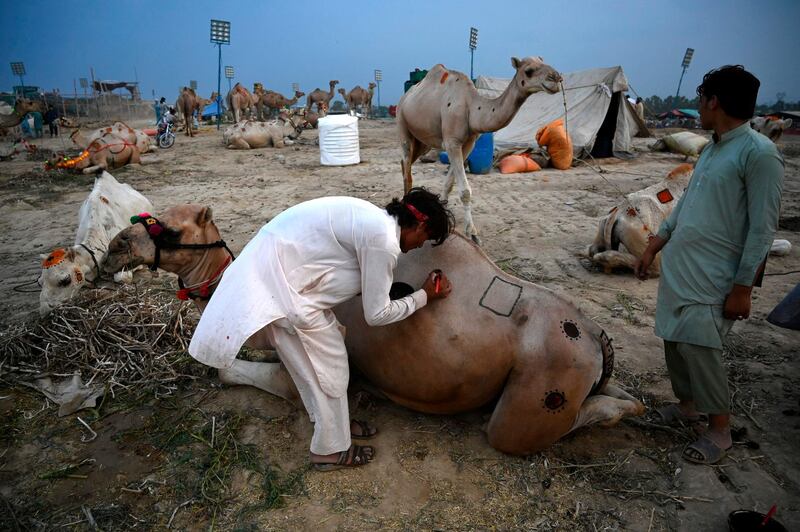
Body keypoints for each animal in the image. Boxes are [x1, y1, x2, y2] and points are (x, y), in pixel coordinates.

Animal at [104, 206, 644, 456]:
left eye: (169, 228)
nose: (113, 247)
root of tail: (593, 335)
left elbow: (242, 375)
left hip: (543, 383)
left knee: (515, 432)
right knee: (614, 390)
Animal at [398, 55, 564, 243]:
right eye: (529, 71)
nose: (556, 78)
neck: (471, 107)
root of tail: (405, 97)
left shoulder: (469, 142)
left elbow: (449, 183)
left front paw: (444, 210)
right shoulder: (452, 142)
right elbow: (465, 191)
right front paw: (473, 233)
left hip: (423, 141)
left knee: (406, 164)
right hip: (403, 124)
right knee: (407, 171)